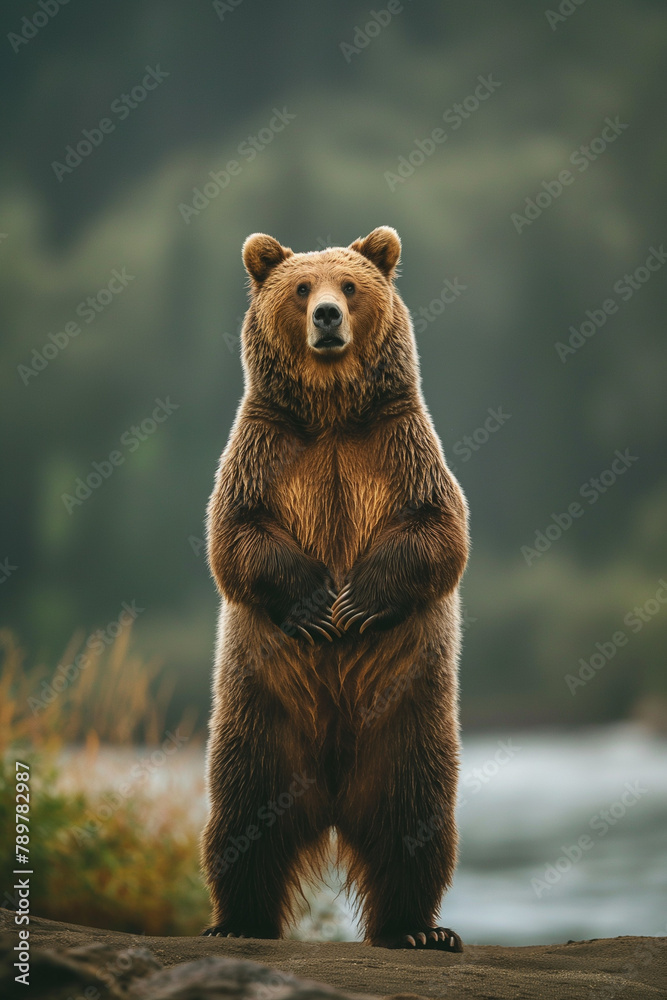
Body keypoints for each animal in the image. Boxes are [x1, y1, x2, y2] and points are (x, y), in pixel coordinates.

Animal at [201, 226, 469, 950]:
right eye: (300, 287)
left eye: (348, 285)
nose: (327, 317)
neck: (330, 411)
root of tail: (330, 800)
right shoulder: (263, 448)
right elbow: (235, 537)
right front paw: (320, 603)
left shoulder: (400, 444)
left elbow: (440, 532)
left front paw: (354, 600)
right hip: (262, 714)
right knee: (242, 816)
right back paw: (237, 923)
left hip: (407, 721)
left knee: (415, 823)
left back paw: (418, 929)